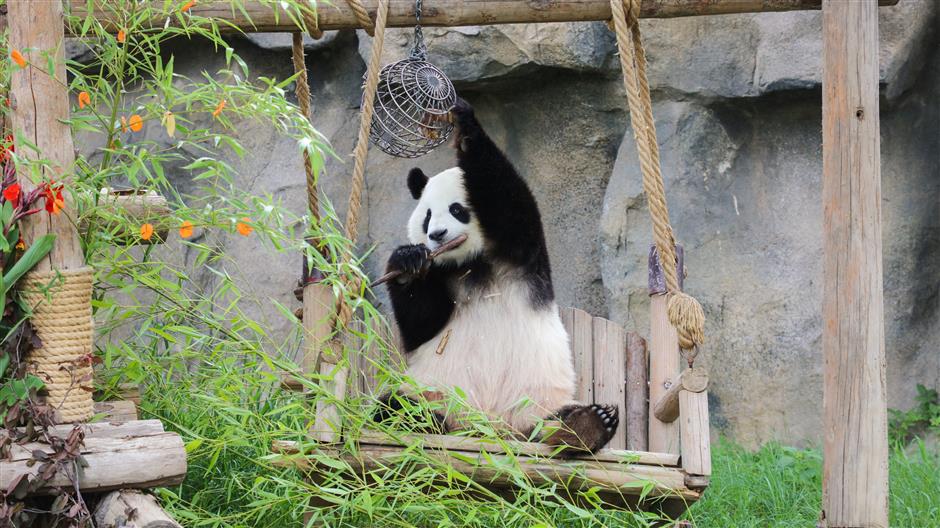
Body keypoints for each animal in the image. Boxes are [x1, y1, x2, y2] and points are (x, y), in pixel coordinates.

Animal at [378, 100, 620, 454]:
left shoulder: (522, 249)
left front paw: (465, 125)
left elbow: (507, 197)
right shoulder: (440, 275)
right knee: (395, 407)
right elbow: (422, 323)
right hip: (435, 393)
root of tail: (491, 430)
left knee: (558, 419)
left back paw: (586, 427)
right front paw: (408, 262)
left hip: (538, 402)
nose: (436, 235)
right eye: (427, 217)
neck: (471, 262)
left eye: (456, 210)